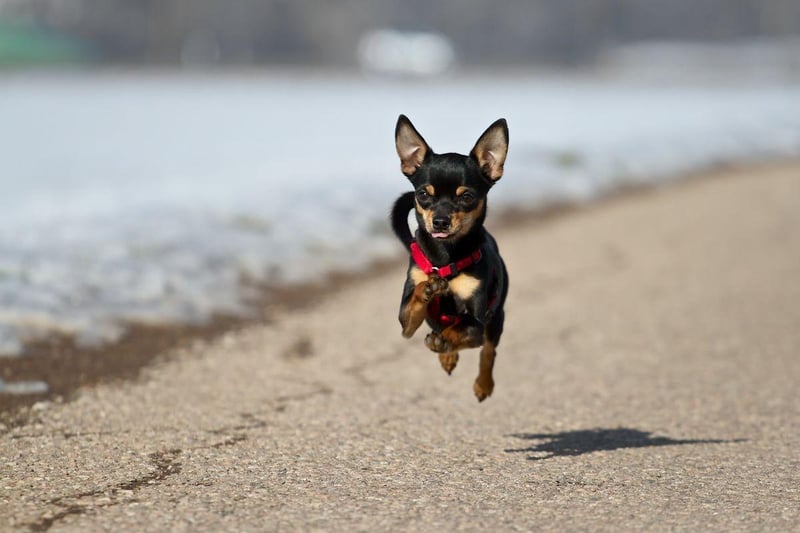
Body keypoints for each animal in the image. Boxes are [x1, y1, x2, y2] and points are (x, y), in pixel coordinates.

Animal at [390, 114, 510, 402]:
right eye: (423, 194)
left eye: (466, 197)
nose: (440, 221)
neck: (445, 258)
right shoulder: (405, 322)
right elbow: (414, 304)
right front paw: (426, 290)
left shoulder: (476, 323)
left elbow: (461, 330)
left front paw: (446, 340)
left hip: (496, 318)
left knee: (489, 351)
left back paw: (483, 383)